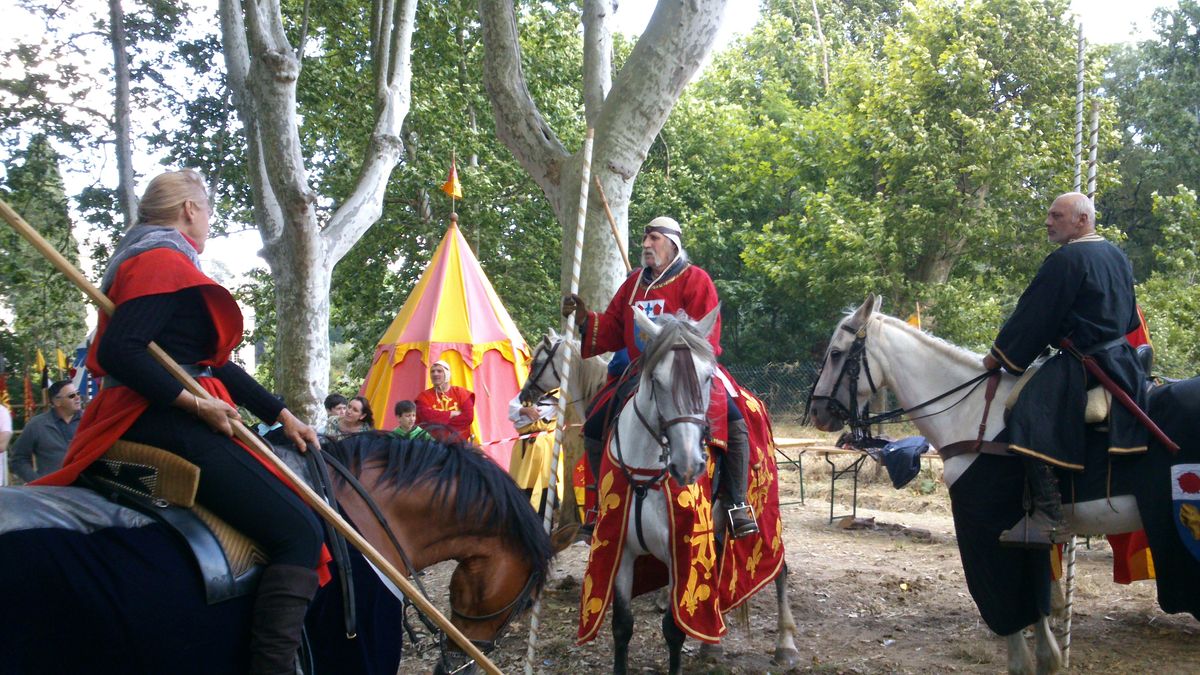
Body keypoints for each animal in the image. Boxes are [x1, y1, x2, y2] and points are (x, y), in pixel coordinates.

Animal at [806, 294, 1152, 672]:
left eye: (836, 353)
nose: (818, 412)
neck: (971, 415)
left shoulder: (987, 531)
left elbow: (1012, 611)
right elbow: (1042, 611)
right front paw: (1053, 655)